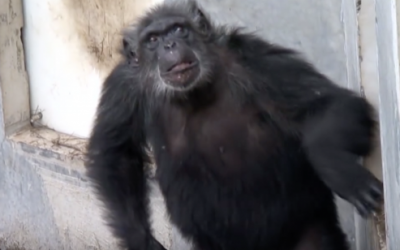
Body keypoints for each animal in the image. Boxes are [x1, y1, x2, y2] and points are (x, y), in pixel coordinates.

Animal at [86, 0, 382, 249]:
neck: (194, 92)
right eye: (153, 40)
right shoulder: (124, 85)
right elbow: (115, 153)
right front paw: (142, 241)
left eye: (179, 29)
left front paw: (342, 172)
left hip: (310, 225)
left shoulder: (254, 58)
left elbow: (328, 103)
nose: (169, 45)